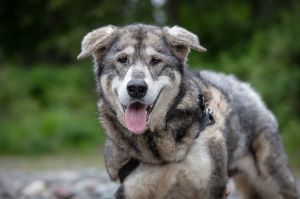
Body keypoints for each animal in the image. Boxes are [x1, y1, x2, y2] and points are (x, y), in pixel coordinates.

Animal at [78, 24, 300, 198]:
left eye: (156, 60)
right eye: (122, 59)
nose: (136, 88)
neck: (161, 150)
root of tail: (247, 89)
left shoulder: (213, 187)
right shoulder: (132, 190)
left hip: (274, 181)